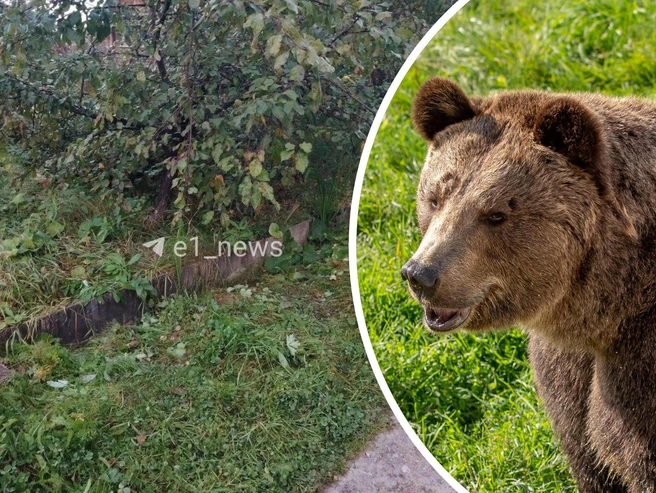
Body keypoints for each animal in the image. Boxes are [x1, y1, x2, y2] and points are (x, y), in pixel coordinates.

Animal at [400, 77, 656, 493]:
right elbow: (585, 447)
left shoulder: (639, 364)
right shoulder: (571, 370)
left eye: (496, 213)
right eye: (435, 197)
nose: (421, 274)